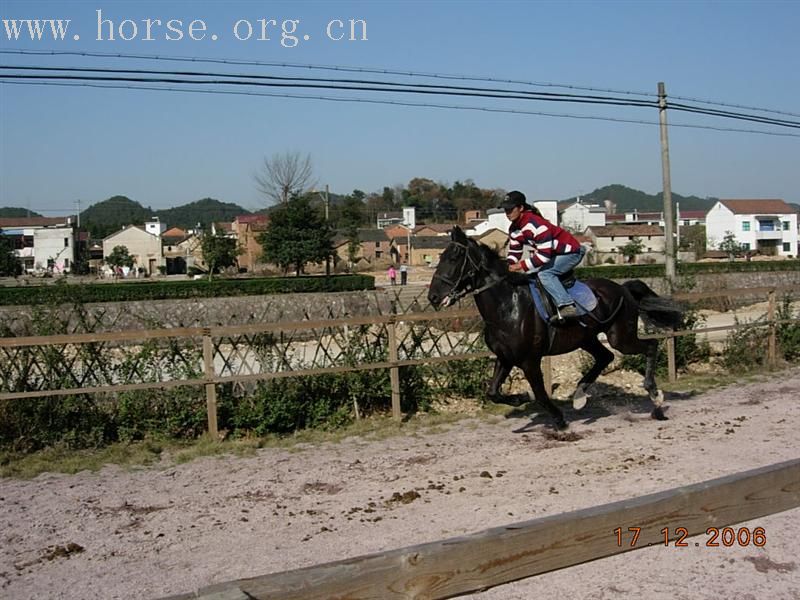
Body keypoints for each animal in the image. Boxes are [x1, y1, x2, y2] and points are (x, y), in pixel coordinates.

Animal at [428, 227, 684, 428]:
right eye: (441, 256)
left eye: (455, 257)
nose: (433, 297)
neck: (507, 306)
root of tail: (623, 288)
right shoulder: (505, 357)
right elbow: (492, 392)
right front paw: (520, 398)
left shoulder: (530, 361)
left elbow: (541, 395)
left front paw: (559, 419)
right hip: (587, 338)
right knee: (605, 357)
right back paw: (580, 396)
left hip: (620, 336)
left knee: (649, 346)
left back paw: (656, 397)